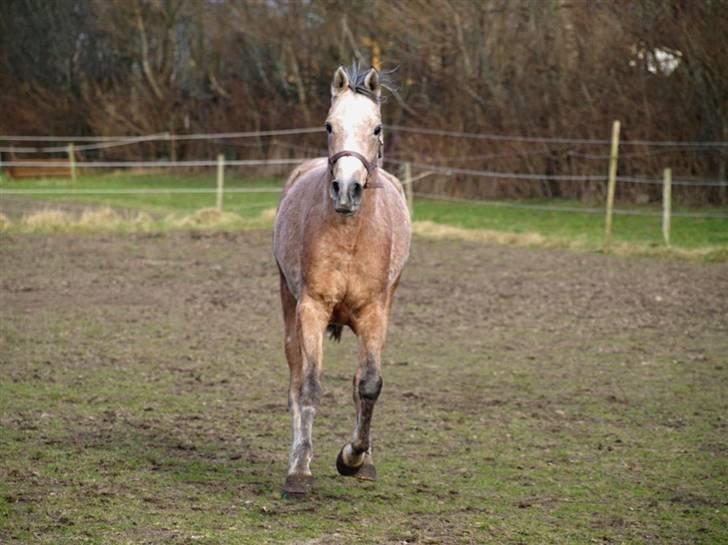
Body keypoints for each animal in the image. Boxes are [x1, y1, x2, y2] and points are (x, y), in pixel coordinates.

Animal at [272, 65, 410, 498]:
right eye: (329, 125)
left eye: (377, 128)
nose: (346, 190)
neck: (351, 236)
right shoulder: (312, 309)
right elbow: (309, 386)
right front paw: (300, 472)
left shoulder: (375, 313)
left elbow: (368, 385)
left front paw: (354, 460)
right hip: (288, 306)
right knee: (295, 378)